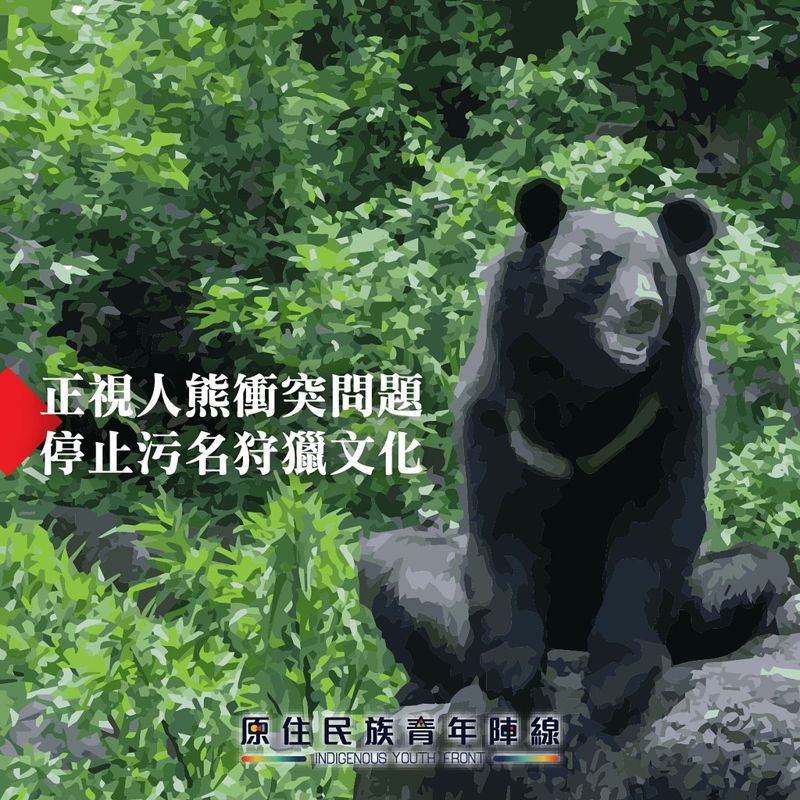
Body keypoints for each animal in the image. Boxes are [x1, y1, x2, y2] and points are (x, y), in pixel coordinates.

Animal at [452, 179, 718, 731]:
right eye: (602, 265)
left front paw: (617, 685)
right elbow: (502, 524)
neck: (587, 386)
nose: (644, 309)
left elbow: (655, 528)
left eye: (659, 273)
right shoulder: (500, 414)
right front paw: (513, 674)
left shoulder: (666, 416)